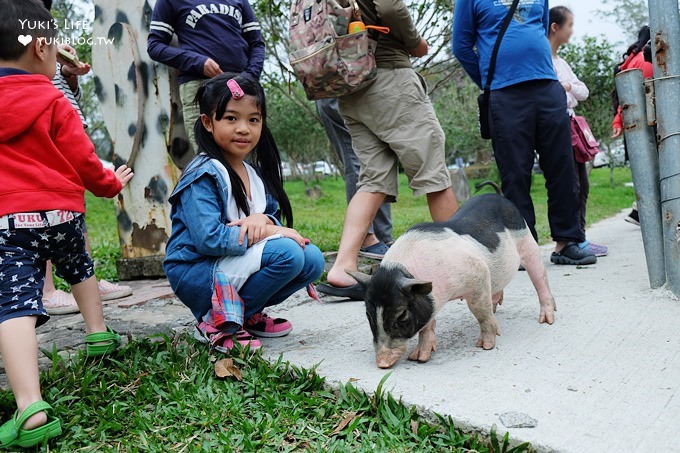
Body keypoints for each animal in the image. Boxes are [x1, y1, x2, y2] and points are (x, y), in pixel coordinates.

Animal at [350, 191, 556, 368]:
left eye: (401, 315)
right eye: (368, 314)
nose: (382, 363)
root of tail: (500, 197)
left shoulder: (478, 273)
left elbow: (480, 312)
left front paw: (485, 346)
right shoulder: (429, 299)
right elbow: (427, 326)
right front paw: (418, 358)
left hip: (527, 241)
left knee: (540, 277)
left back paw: (547, 320)